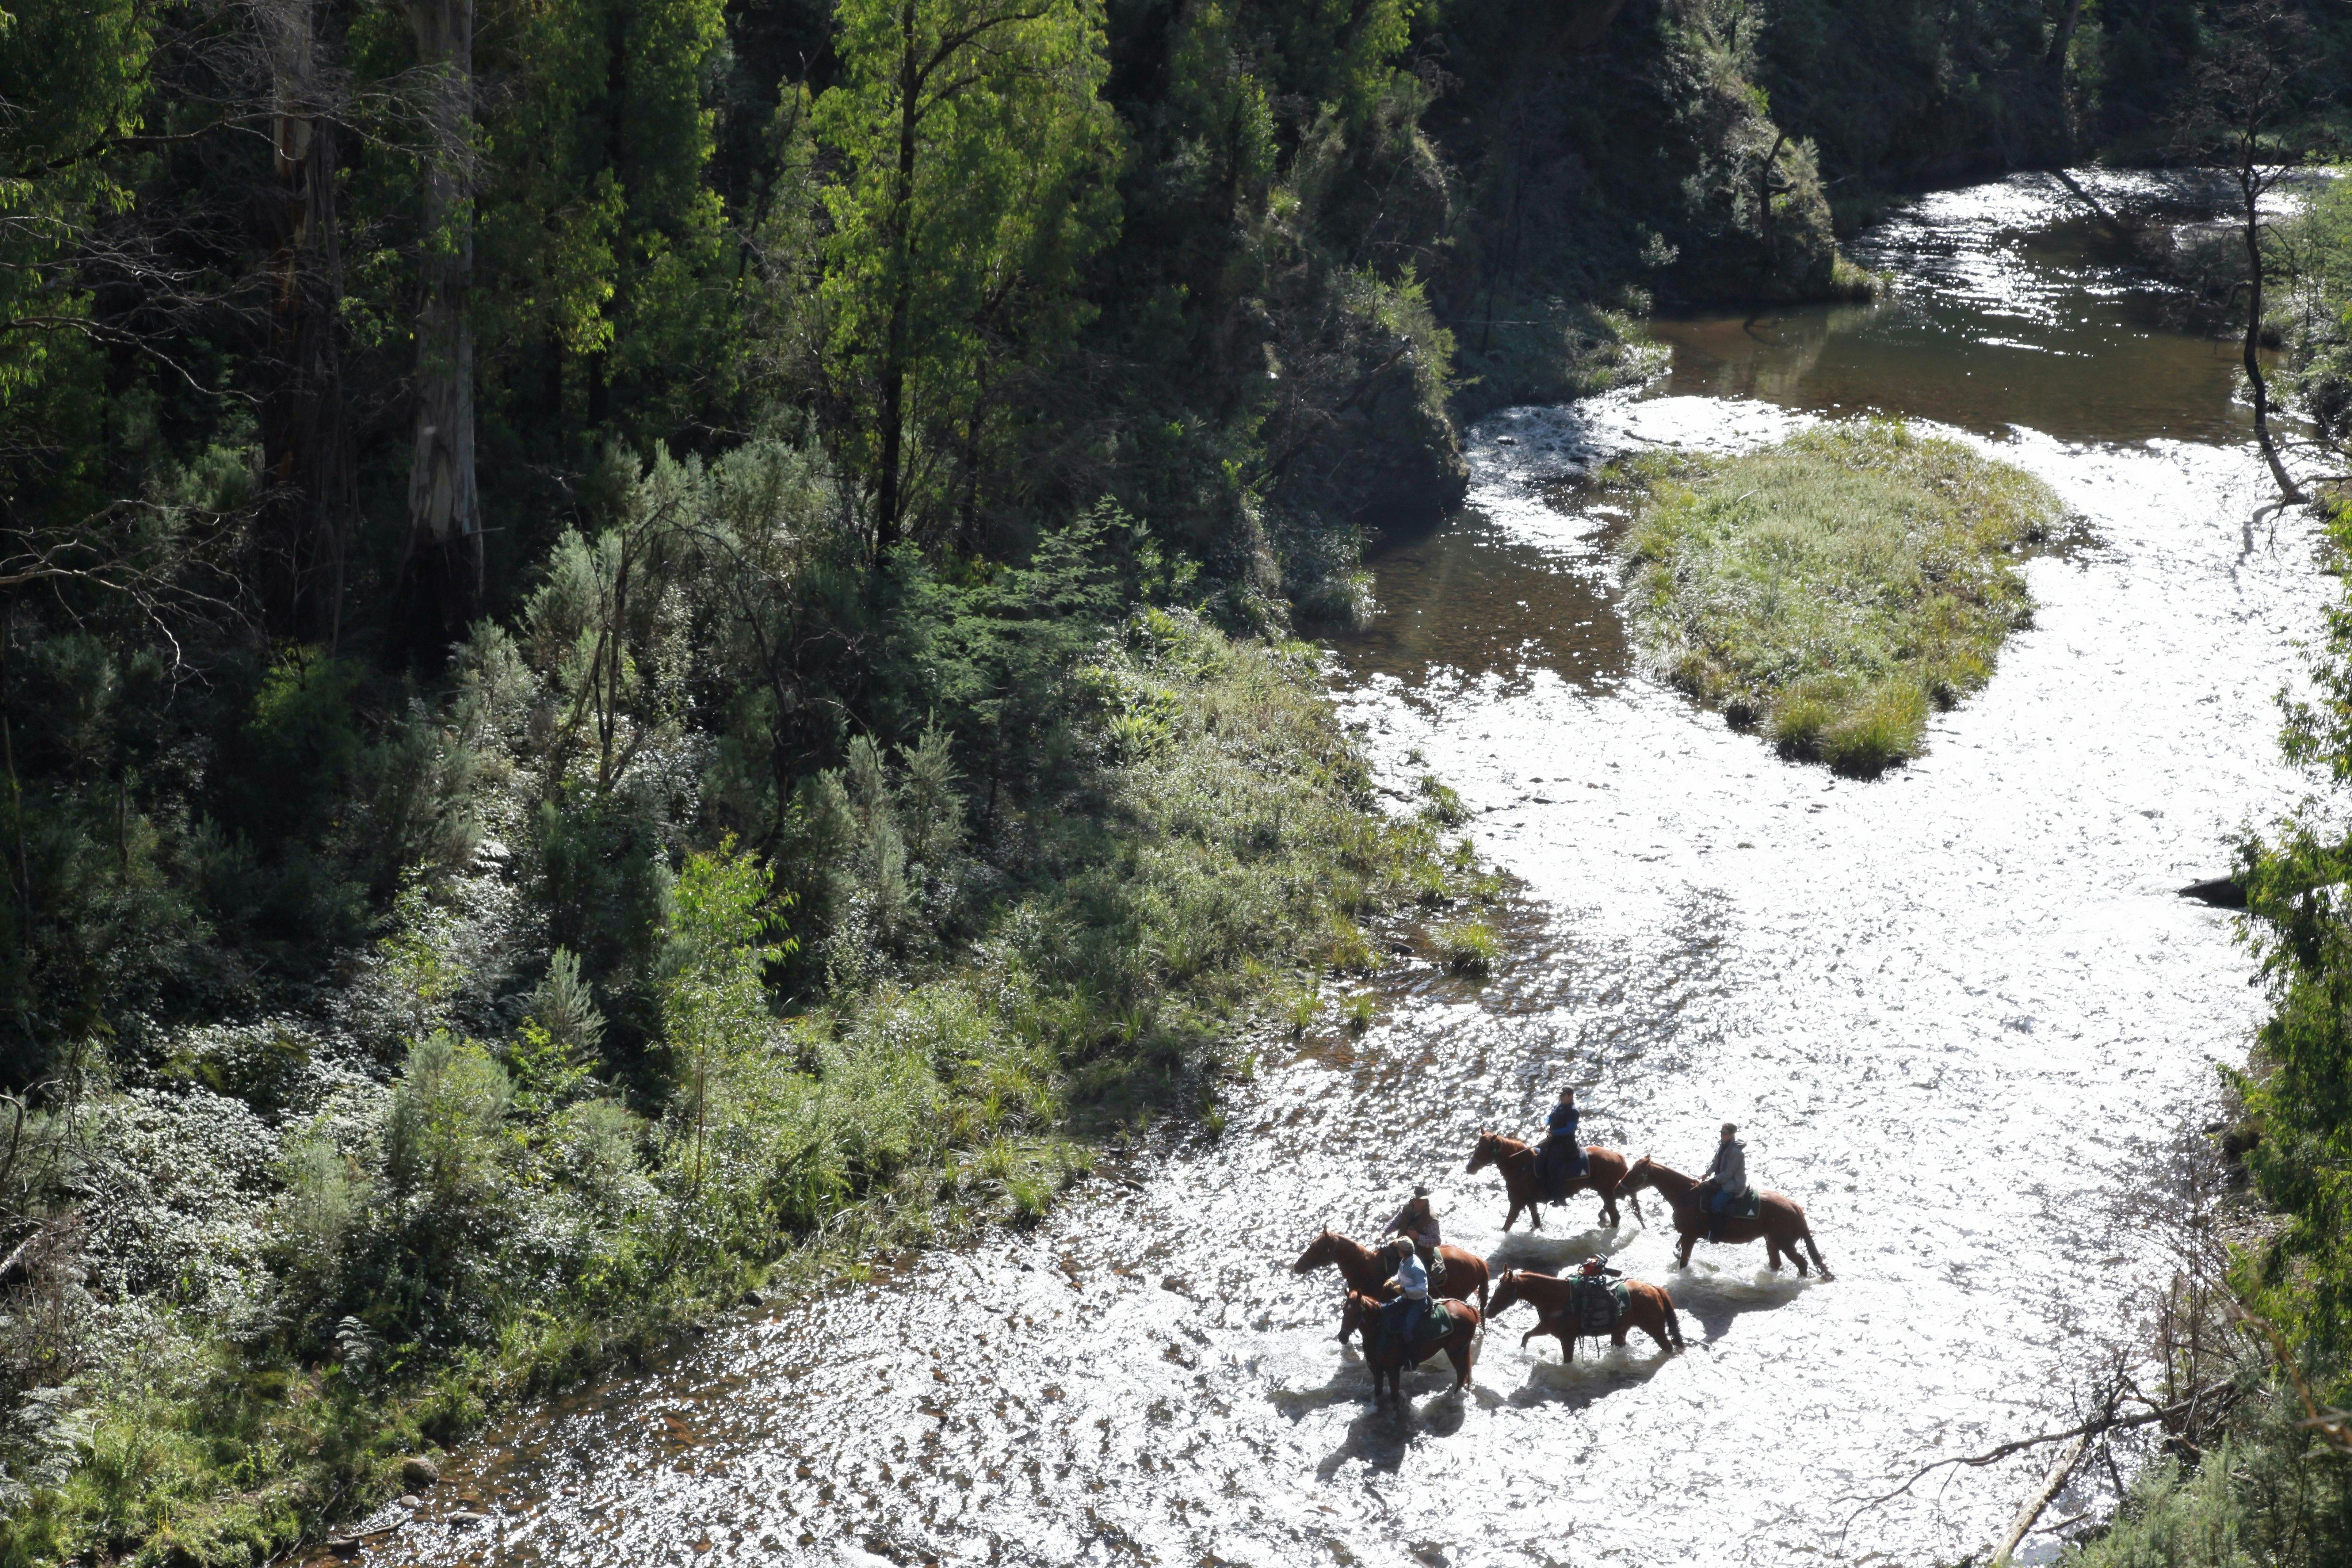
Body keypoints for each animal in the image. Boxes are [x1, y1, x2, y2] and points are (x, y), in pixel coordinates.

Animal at [1337, 1289, 1480, 1404]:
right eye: (1344, 1310)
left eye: (1358, 1312)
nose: (1342, 1337)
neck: (1380, 1331)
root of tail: (1468, 1308)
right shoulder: (1377, 1371)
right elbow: (1378, 1394)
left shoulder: (1393, 1371)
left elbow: (1395, 1397)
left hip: (1456, 1352)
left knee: (1461, 1374)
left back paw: (1452, 1398)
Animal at [1464, 1131, 1632, 1230]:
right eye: (1477, 1145)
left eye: (1483, 1148)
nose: (1469, 1168)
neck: (1522, 1165)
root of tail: (1619, 1158)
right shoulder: (1530, 1203)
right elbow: (1536, 1221)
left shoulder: (1517, 1204)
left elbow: (1507, 1226)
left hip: (1606, 1192)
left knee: (1615, 1216)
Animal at [1486, 1268, 1684, 1361]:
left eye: (1502, 1290)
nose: (1488, 1312)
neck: (1558, 1298)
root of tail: (1654, 1289)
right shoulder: (1546, 1328)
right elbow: (1527, 1336)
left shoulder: (1567, 1339)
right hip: (1620, 1331)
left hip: (1655, 1329)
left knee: (1667, 1346)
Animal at [1617, 1155, 1832, 1278]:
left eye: (1634, 1173)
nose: (1618, 1189)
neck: (1687, 1195)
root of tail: (1796, 1208)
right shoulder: (1686, 1238)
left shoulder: (1689, 1237)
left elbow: (1684, 1262)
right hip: (1771, 1241)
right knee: (1777, 1264)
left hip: (1785, 1244)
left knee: (1802, 1263)